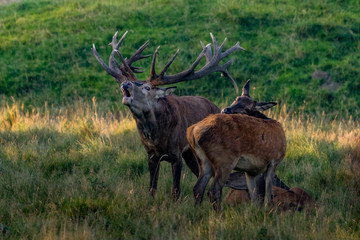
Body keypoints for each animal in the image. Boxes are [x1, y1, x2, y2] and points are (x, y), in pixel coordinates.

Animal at [92, 31, 245, 200]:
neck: (157, 138)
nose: (125, 83)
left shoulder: (176, 153)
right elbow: (152, 189)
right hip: (190, 153)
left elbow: (175, 190)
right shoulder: (151, 155)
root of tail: (217, 107)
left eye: (147, 87)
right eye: (128, 82)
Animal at [187, 80, 286, 210]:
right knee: (213, 190)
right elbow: (266, 196)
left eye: (247, 108)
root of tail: (194, 130)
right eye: (236, 98)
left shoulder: (251, 170)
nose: (226, 110)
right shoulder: (273, 161)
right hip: (224, 160)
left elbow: (254, 197)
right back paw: (219, 213)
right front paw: (267, 210)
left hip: (203, 161)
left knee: (198, 188)